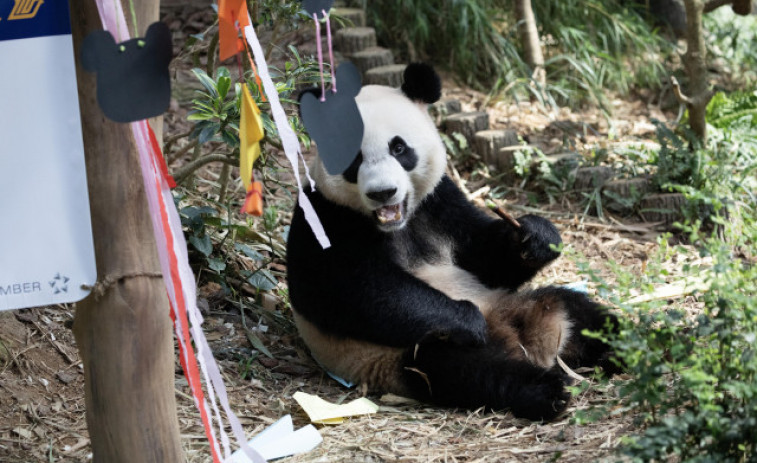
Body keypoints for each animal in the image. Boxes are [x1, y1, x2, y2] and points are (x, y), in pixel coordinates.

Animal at [286, 63, 616, 422]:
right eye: (352, 159)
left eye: (399, 149)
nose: (382, 192)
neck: (396, 224)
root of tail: (527, 341)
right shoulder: (323, 217)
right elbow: (351, 292)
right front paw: (465, 318)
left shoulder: (440, 202)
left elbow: (485, 258)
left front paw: (536, 237)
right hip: (402, 355)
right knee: (470, 369)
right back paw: (548, 390)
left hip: (524, 303)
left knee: (579, 310)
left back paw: (624, 346)